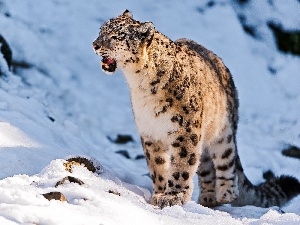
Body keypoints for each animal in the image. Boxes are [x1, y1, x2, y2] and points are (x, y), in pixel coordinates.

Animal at [92, 9, 300, 208]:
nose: (95, 44)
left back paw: (226, 192)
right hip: (202, 140)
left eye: (116, 36)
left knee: (227, 158)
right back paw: (208, 197)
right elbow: (157, 166)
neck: (140, 85)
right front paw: (159, 193)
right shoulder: (150, 132)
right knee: (205, 165)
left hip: (222, 131)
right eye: (101, 30)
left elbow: (181, 165)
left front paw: (172, 197)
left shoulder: (184, 130)